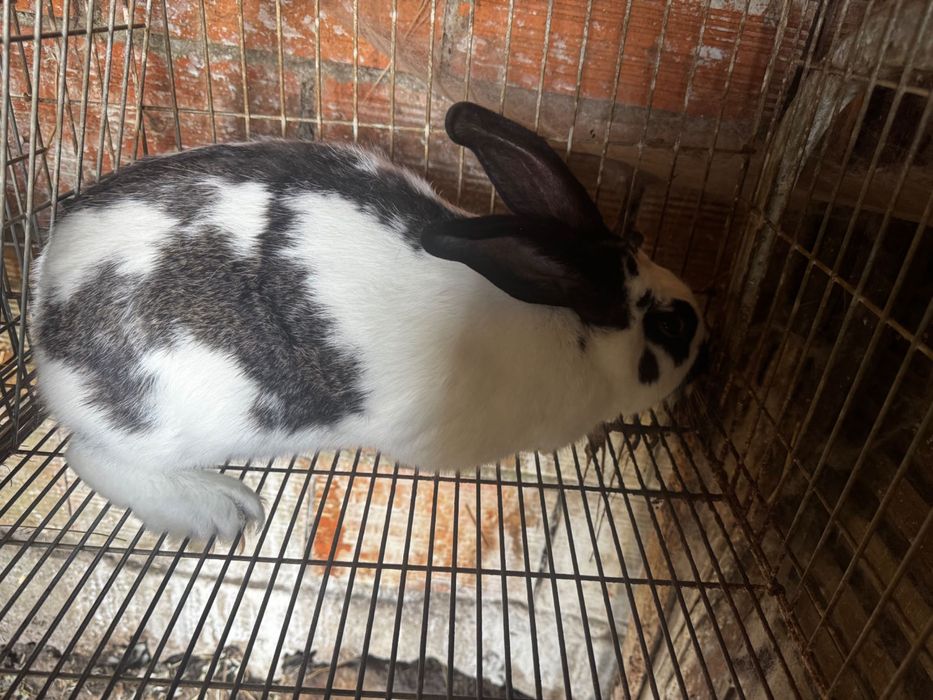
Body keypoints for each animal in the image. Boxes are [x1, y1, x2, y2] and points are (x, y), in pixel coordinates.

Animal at [31, 102, 707, 541]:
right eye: (671, 328)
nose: (710, 342)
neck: (566, 326)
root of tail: (43, 298)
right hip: (167, 426)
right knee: (85, 457)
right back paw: (218, 511)